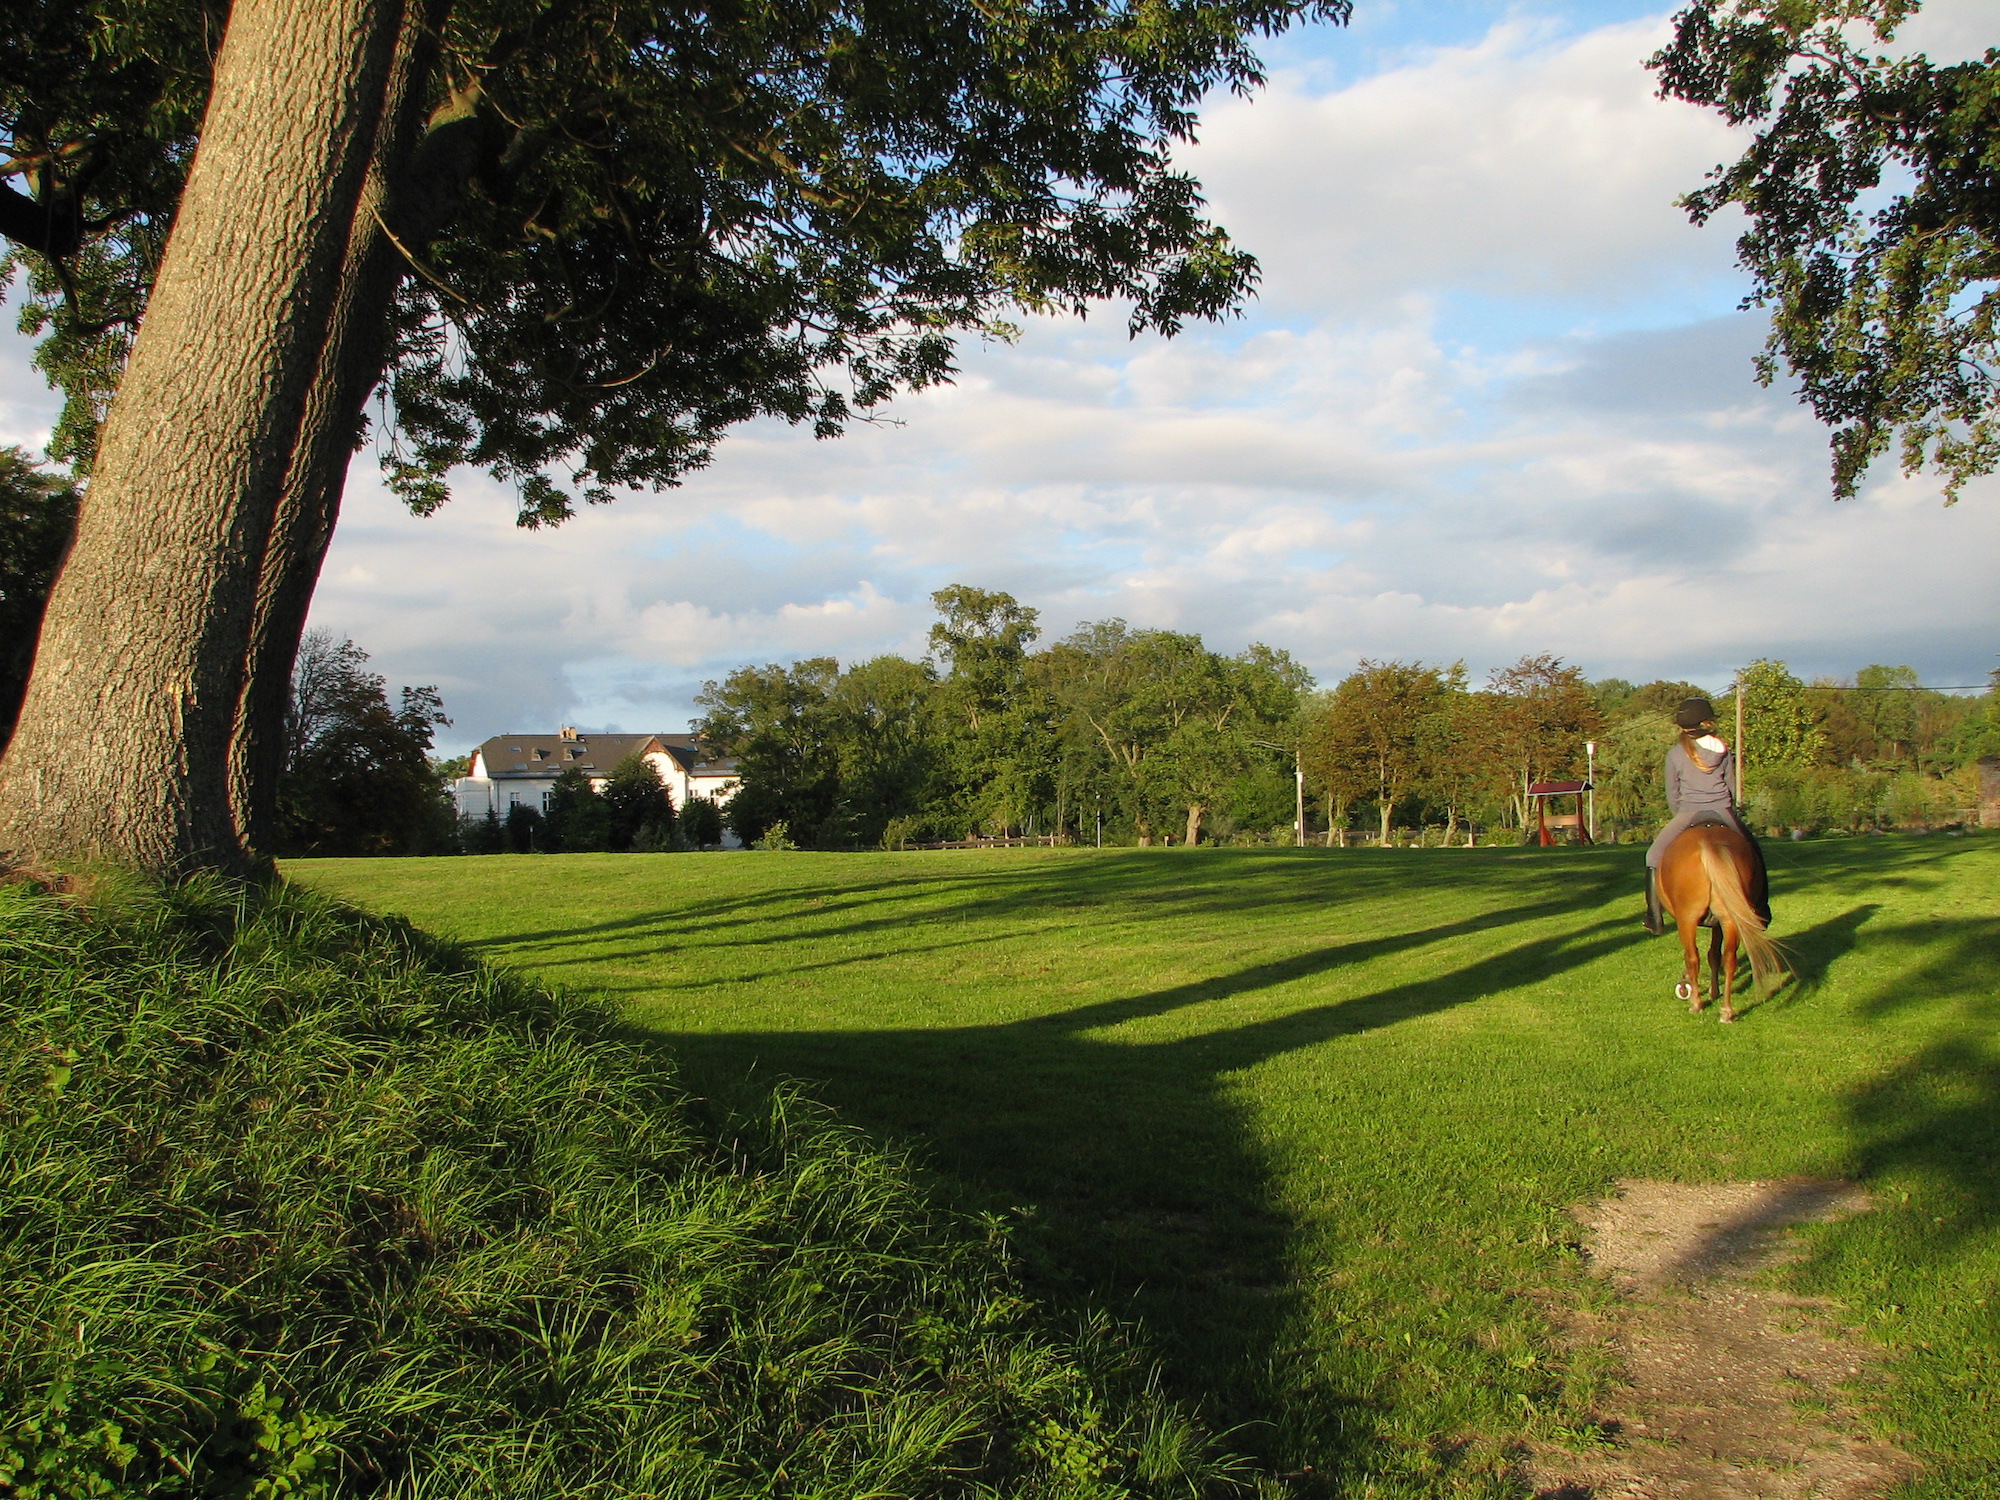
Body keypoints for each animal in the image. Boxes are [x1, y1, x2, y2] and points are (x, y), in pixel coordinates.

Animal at [1656, 824, 1784, 1024]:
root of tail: (1710, 843)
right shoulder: (1718, 924)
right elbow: (1714, 955)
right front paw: (1714, 991)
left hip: (1687, 919)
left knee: (1692, 957)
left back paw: (1696, 1004)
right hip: (1729, 919)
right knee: (1729, 959)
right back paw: (1726, 1011)